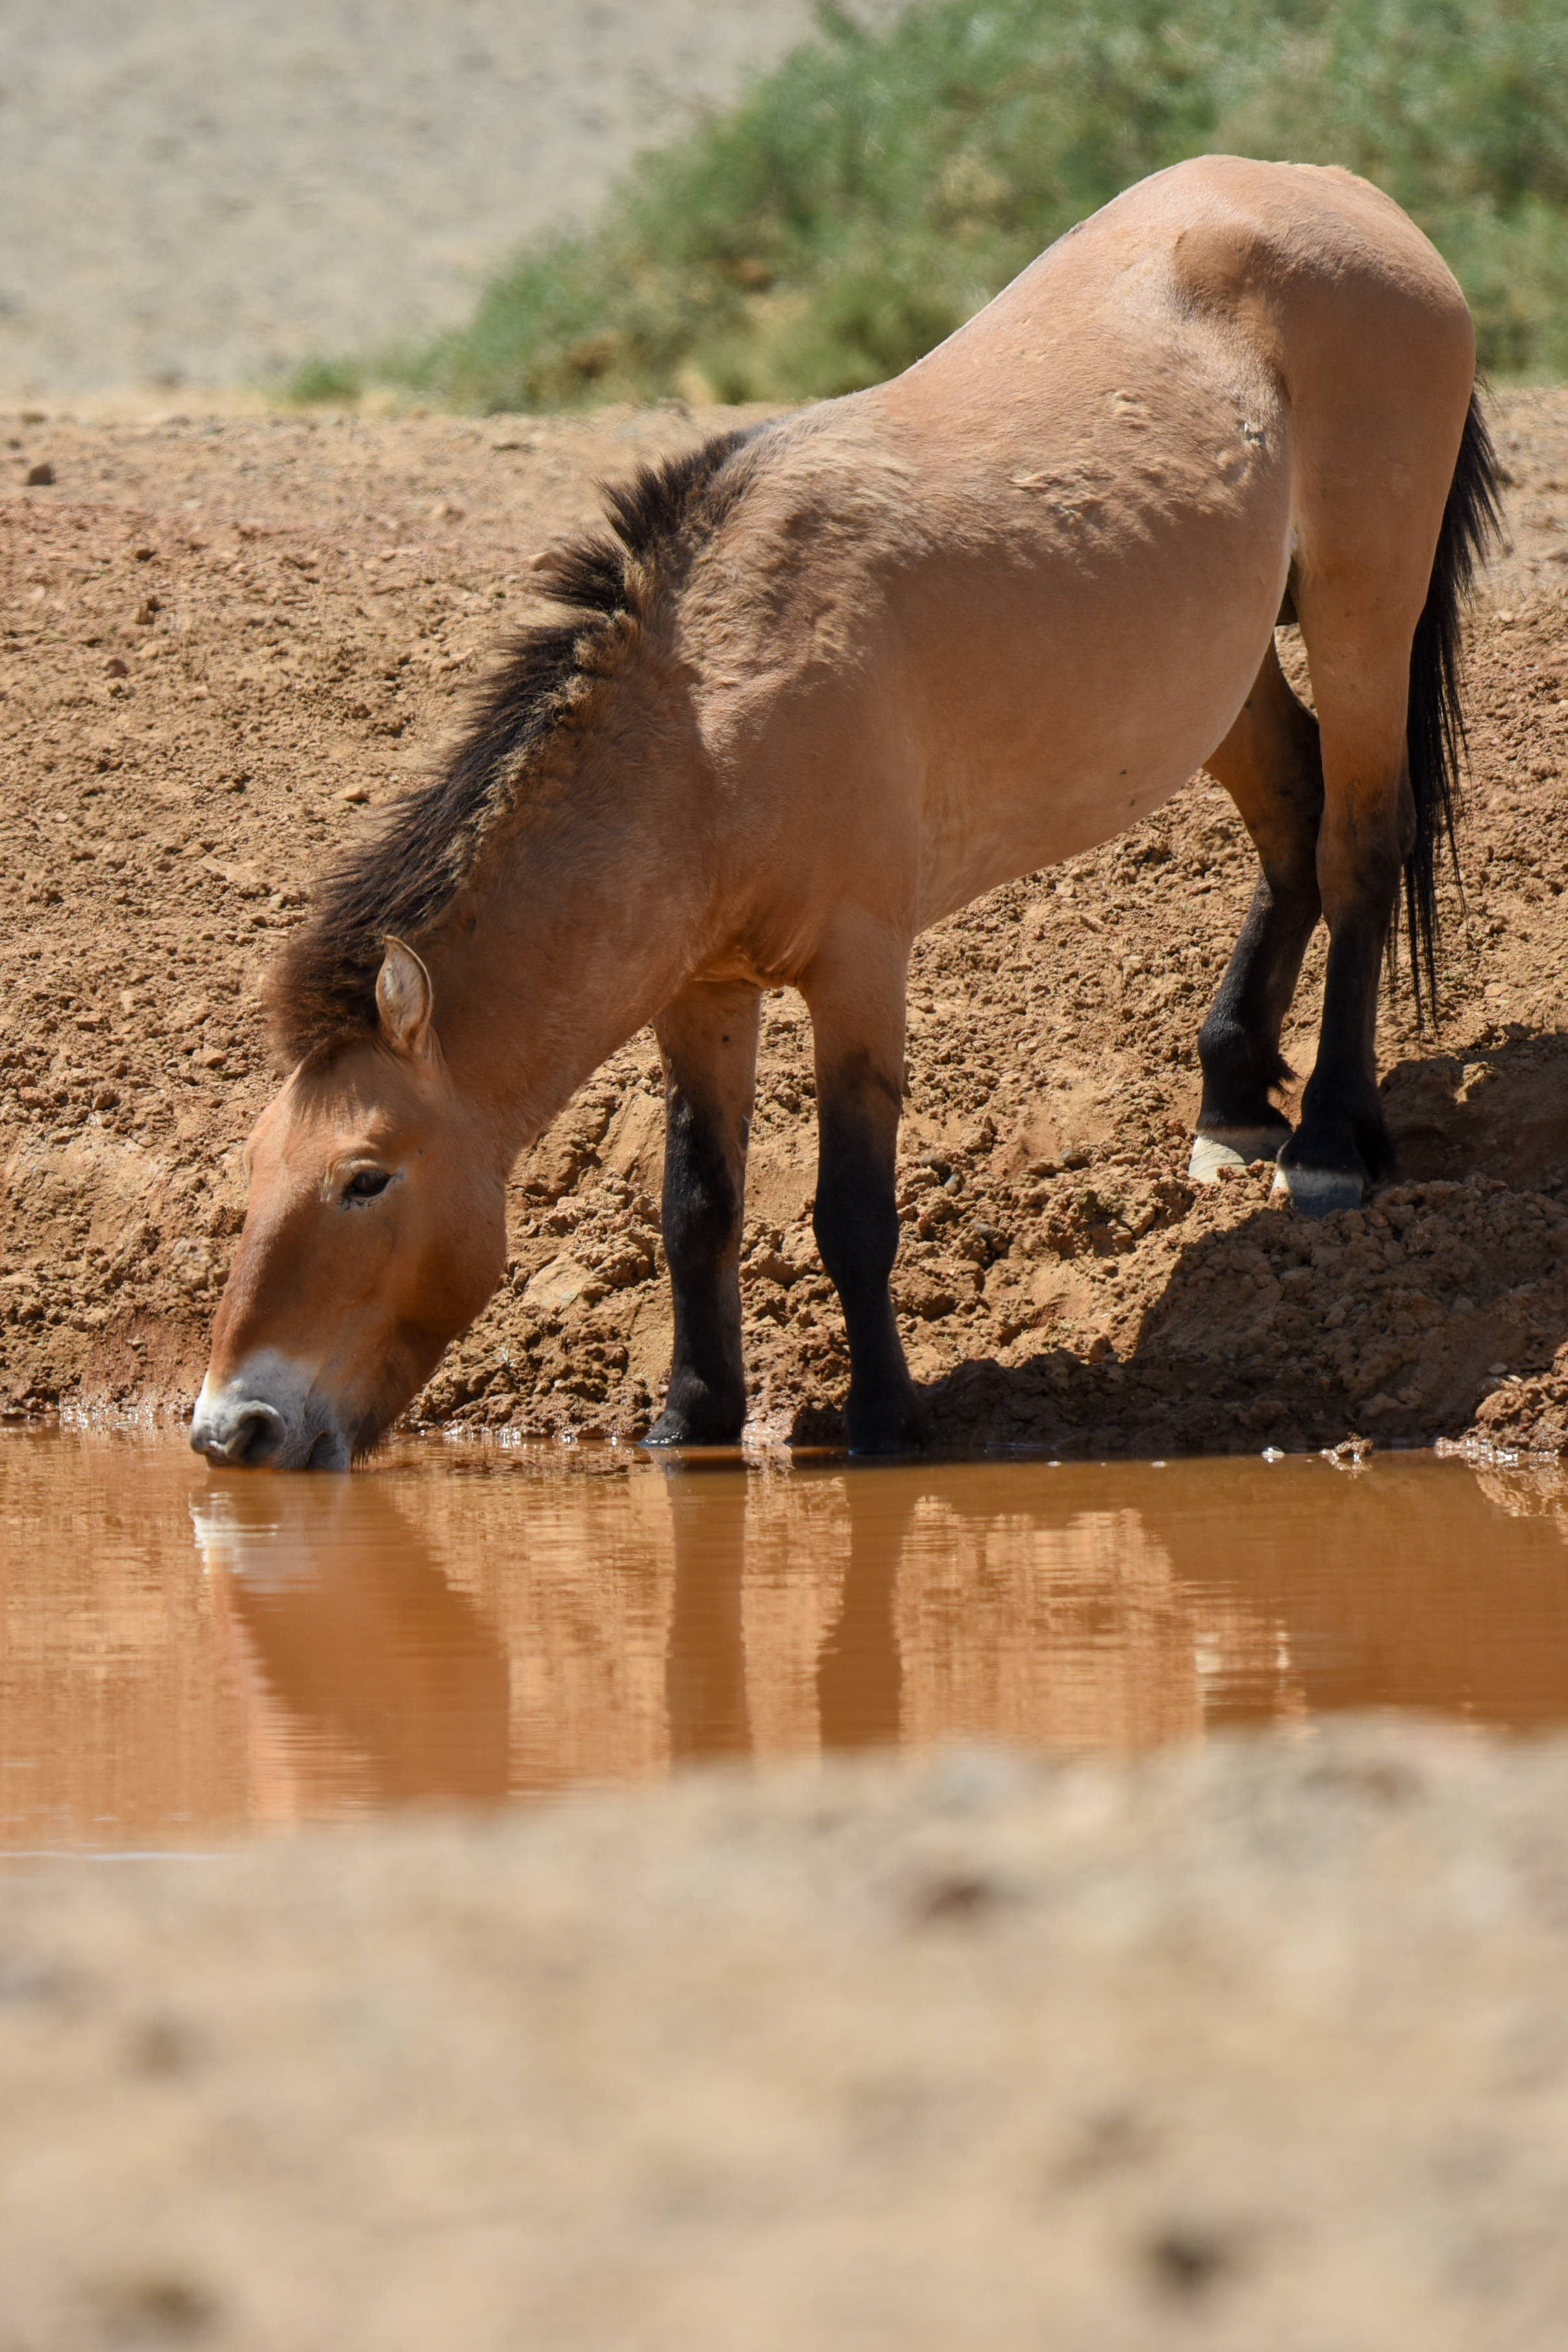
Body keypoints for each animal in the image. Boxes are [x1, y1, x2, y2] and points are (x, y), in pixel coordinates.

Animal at [190, 151, 1504, 1468]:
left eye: (365, 1176)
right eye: (253, 1166)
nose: (233, 1427)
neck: (710, 718)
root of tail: (1347, 197)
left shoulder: (861, 965)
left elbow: (851, 1210)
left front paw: (885, 1419)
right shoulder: (700, 992)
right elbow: (696, 1207)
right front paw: (690, 1419)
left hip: (1362, 607)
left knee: (1356, 846)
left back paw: (1328, 1143)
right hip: (1220, 669)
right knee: (1292, 815)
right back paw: (1232, 1104)